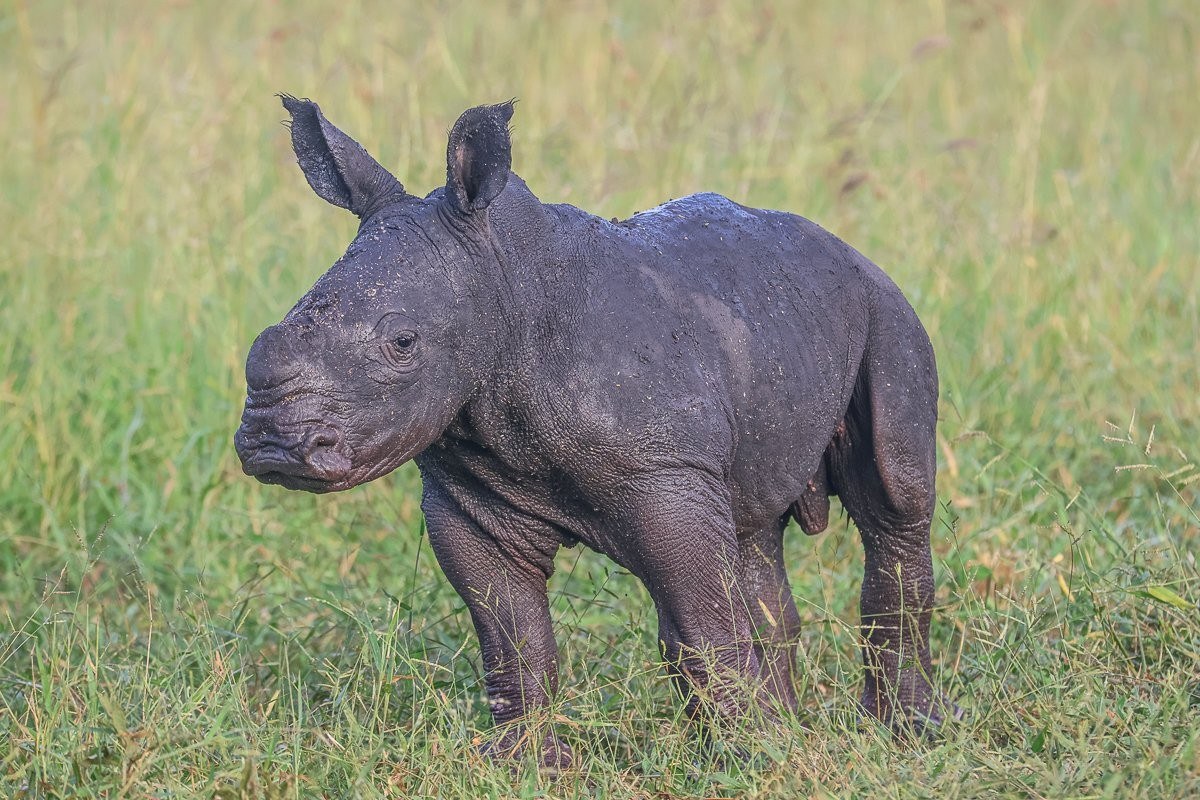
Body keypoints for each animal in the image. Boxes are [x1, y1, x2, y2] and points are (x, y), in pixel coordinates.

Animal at [234, 95, 954, 768]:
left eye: (403, 343)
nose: (274, 445)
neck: (505, 285)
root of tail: (847, 247)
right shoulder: (468, 493)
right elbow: (512, 636)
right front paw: (528, 766)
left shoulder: (663, 468)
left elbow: (701, 623)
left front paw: (747, 761)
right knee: (754, 532)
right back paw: (795, 731)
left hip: (886, 309)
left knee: (893, 500)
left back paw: (902, 733)